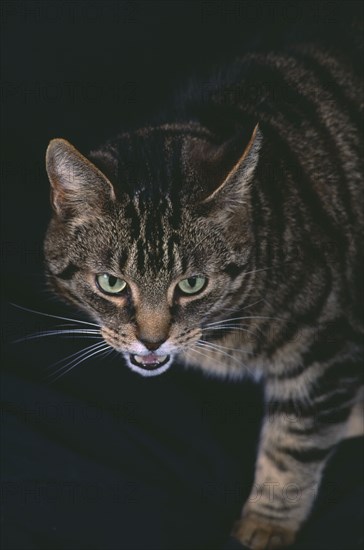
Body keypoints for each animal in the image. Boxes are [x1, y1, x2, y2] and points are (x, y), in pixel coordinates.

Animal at [44, 36, 362, 548]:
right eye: (112, 283)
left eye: (192, 283)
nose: (152, 339)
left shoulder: (328, 342)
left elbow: (292, 447)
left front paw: (265, 526)